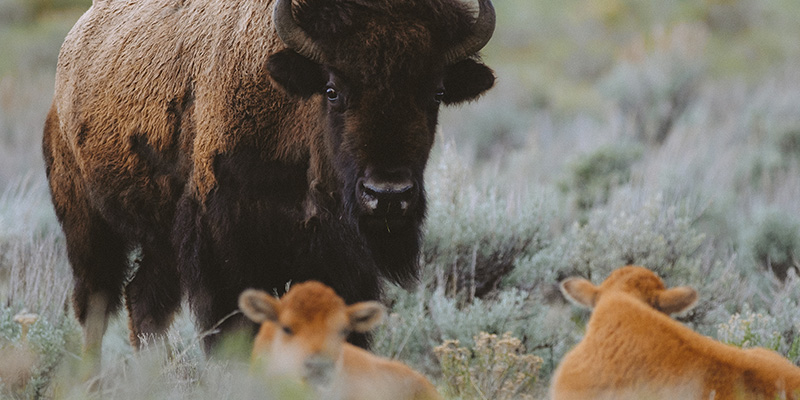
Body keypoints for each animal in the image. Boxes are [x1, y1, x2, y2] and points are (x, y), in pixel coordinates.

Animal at [42, 0, 496, 367]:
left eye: (436, 92)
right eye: (332, 90)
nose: (387, 195)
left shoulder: (343, 262)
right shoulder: (226, 254)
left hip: (162, 241)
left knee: (142, 302)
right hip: (88, 223)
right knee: (96, 305)